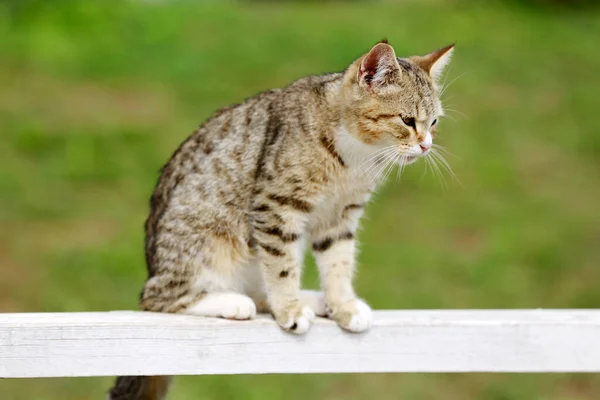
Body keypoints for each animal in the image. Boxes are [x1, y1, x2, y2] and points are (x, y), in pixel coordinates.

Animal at [108, 39, 454, 398]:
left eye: (434, 122)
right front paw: (289, 309)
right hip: (202, 240)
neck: (354, 158)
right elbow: (281, 265)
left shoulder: (340, 217)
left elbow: (338, 263)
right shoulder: (275, 205)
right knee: (157, 298)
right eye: (408, 120)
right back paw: (235, 302)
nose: (427, 146)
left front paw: (342, 306)